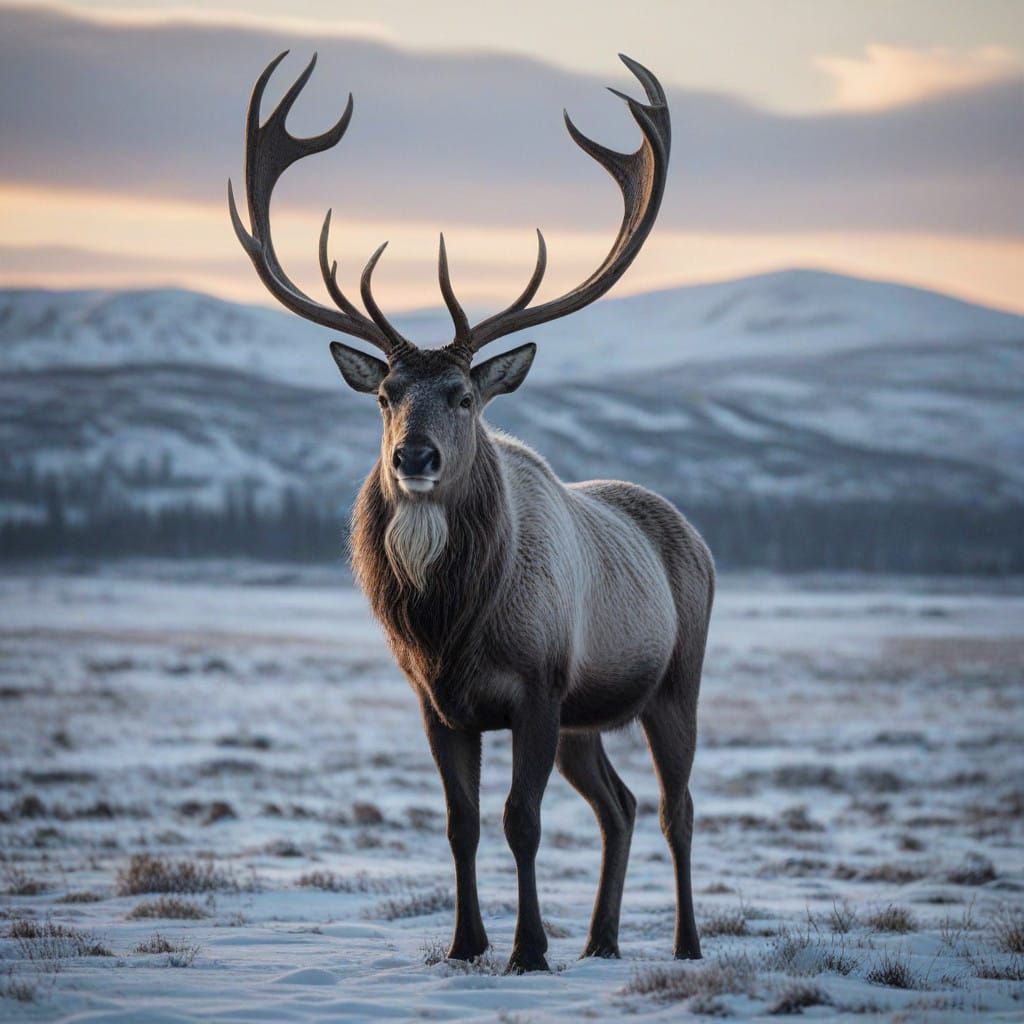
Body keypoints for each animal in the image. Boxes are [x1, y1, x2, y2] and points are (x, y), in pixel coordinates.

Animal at [229, 51, 713, 973]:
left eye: (462, 394)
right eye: (385, 394)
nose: (413, 459)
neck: (447, 622)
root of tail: (694, 535)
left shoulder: (537, 685)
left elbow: (520, 822)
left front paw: (527, 950)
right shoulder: (436, 702)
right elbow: (459, 826)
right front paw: (465, 945)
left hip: (675, 680)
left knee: (678, 807)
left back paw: (685, 943)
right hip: (587, 720)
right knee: (621, 804)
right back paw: (601, 940)